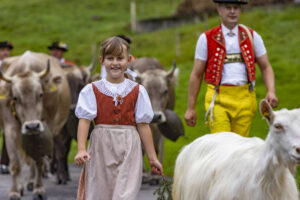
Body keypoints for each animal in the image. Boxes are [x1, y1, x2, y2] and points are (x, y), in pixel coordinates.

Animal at [0, 50, 71, 199]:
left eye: (40, 94)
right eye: (15, 97)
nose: (32, 126)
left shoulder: (45, 130)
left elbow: (38, 161)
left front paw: (39, 190)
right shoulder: (10, 129)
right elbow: (15, 163)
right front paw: (14, 191)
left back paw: (31, 182)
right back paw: (21, 186)